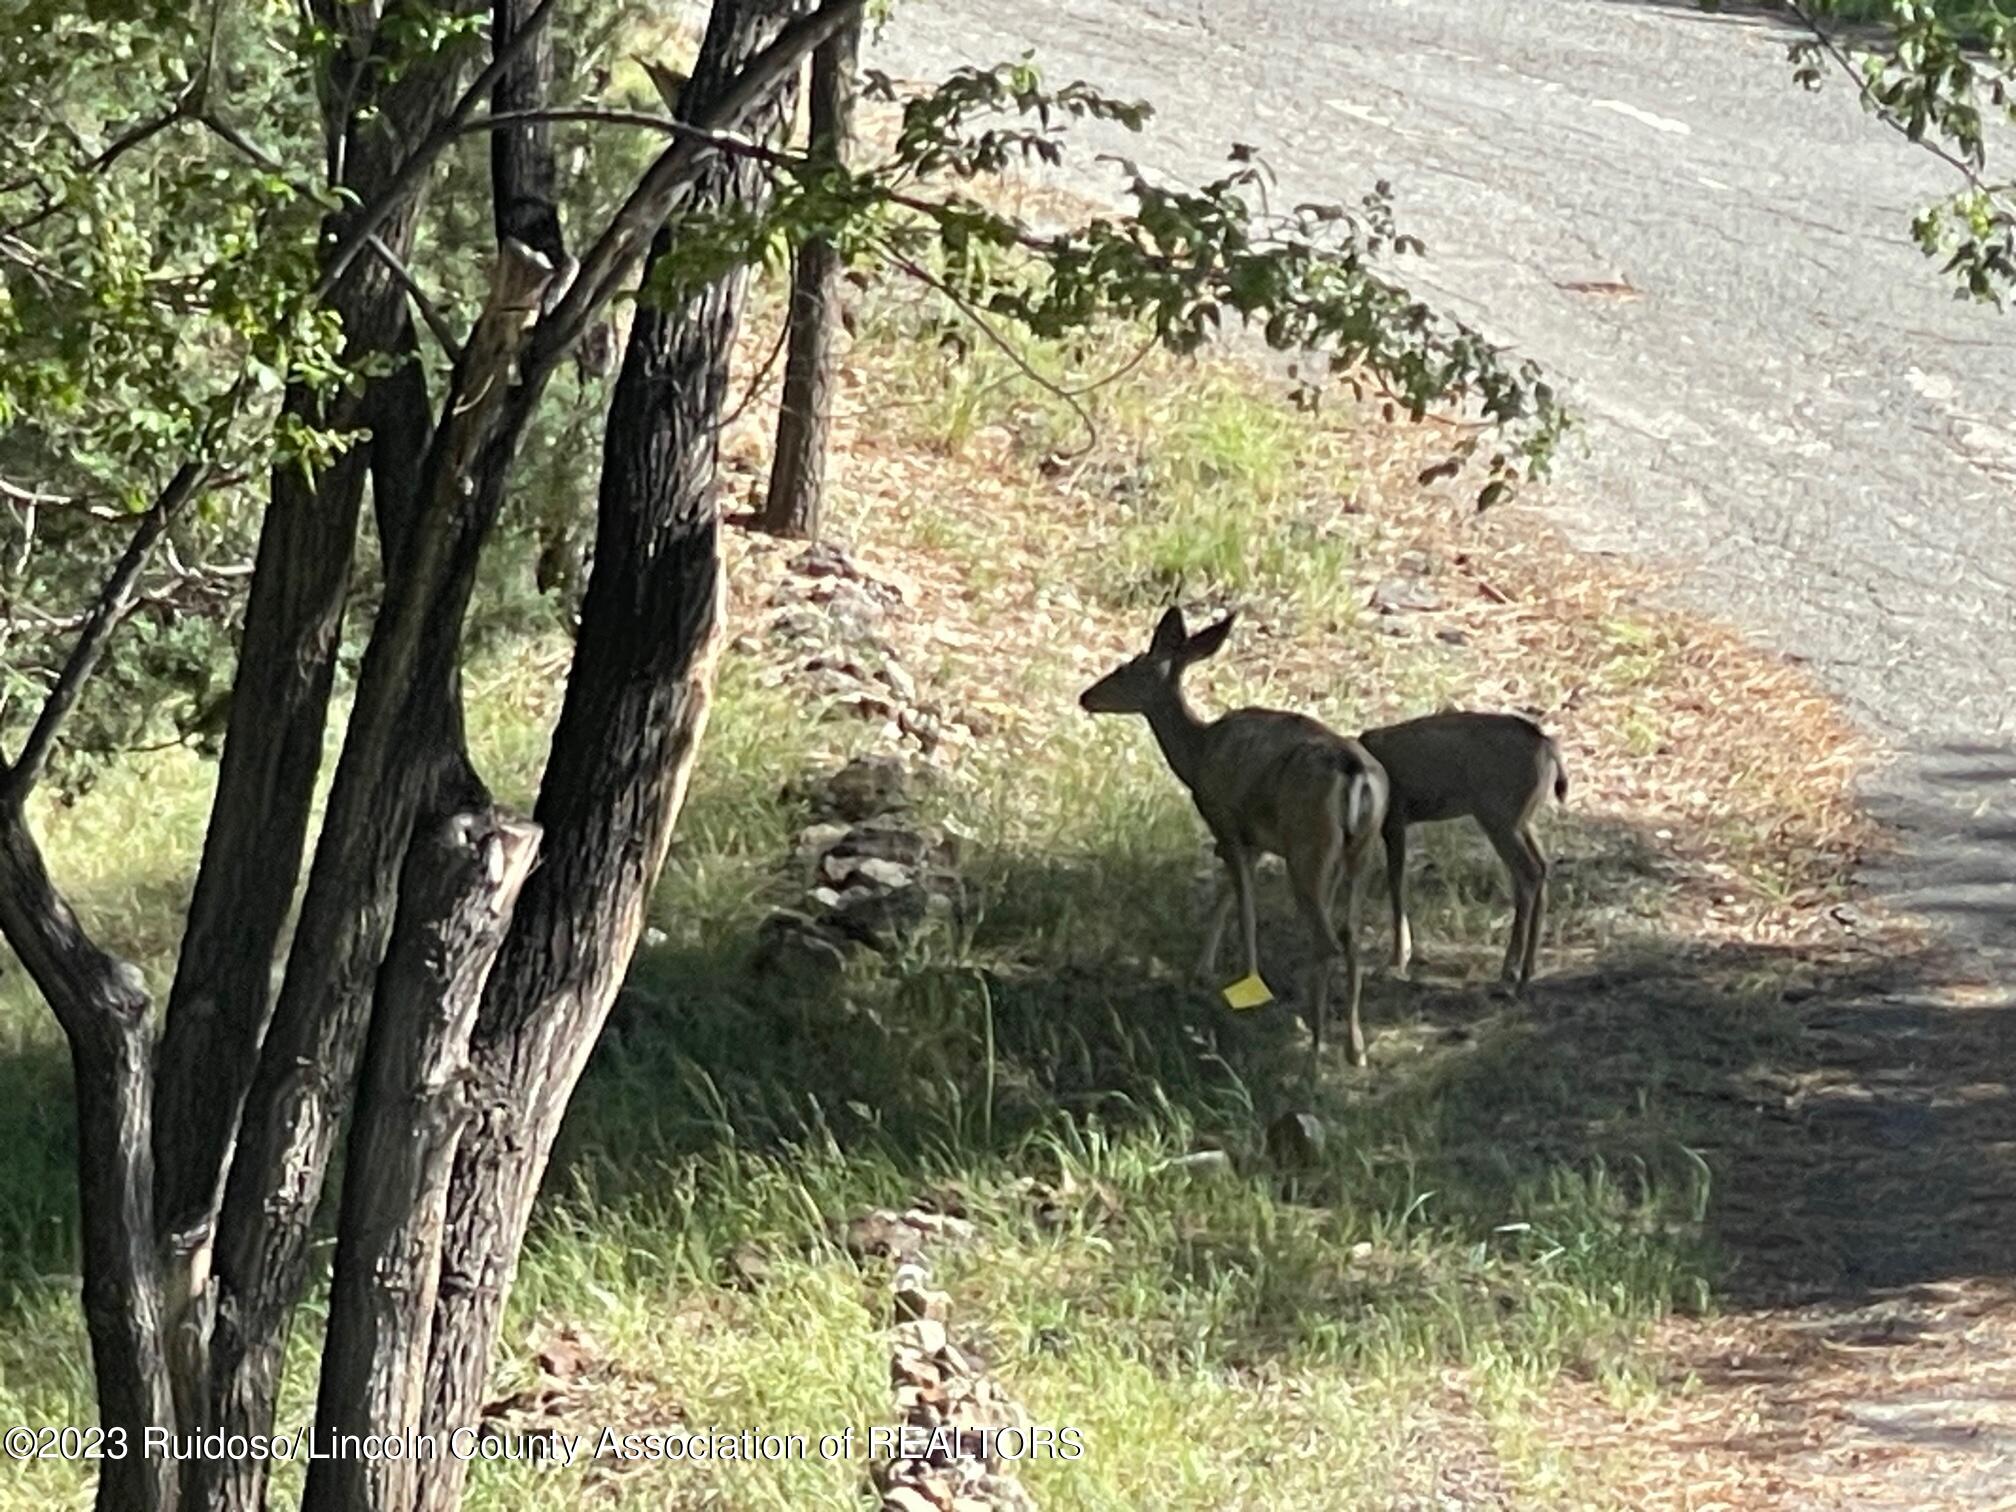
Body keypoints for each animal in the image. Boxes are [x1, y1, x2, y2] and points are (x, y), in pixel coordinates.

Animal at [1080, 608, 1395, 1072]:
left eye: (1125, 668)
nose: (1086, 697)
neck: (1197, 753)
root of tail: (1355, 771)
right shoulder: (1255, 840)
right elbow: (1227, 897)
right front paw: (1202, 971)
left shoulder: (1224, 819)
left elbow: (1243, 905)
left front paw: (1244, 984)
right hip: (1361, 847)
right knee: (1350, 933)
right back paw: (1354, 1050)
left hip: (1307, 844)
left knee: (1327, 939)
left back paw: (1315, 1053)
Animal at [1354, 713, 1572, 995]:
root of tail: (1546, 745)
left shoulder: (1394, 820)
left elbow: (1395, 881)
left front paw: (1397, 960)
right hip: (1521, 819)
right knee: (1542, 867)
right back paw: (1527, 968)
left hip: (1498, 814)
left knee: (1529, 872)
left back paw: (1512, 971)